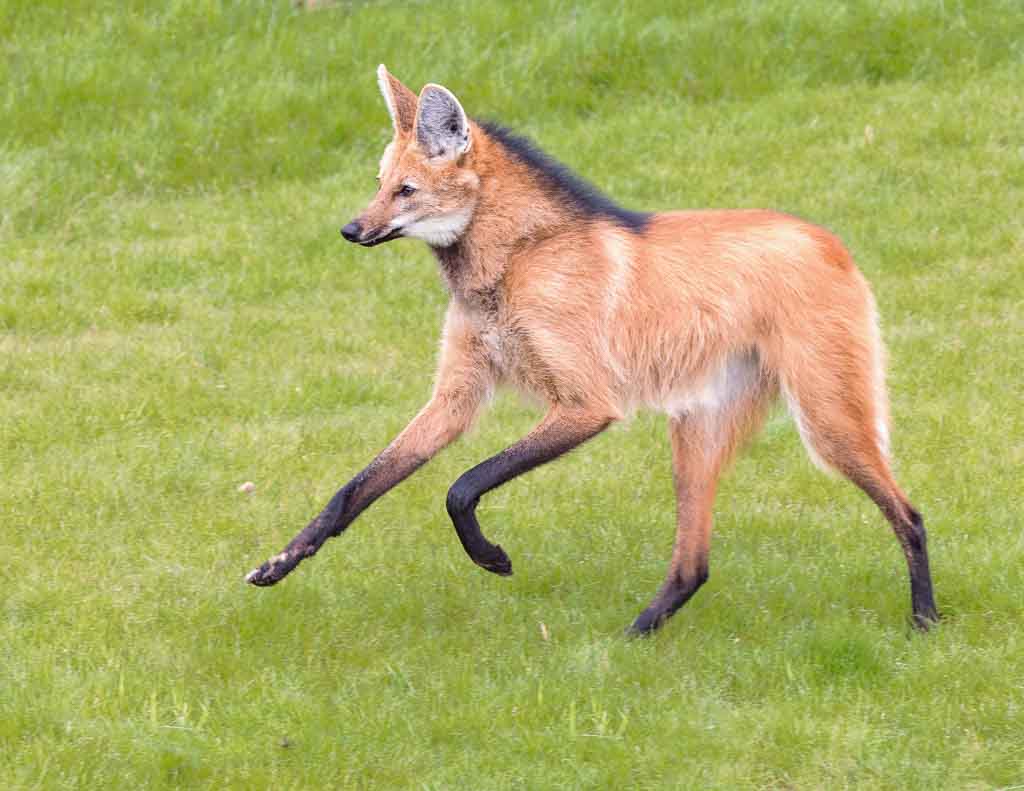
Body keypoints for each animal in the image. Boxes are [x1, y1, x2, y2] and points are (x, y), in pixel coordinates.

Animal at [246, 65, 938, 634]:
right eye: (379, 184)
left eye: (407, 191)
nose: (350, 229)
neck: (513, 262)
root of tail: (830, 240)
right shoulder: (456, 397)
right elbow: (353, 491)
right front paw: (277, 564)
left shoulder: (587, 405)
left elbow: (462, 486)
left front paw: (492, 558)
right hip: (696, 429)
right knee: (694, 563)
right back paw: (633, 639)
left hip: (826, 421)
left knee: (909, 513)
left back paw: (925, 623)